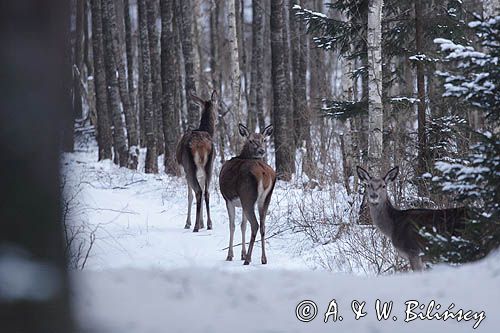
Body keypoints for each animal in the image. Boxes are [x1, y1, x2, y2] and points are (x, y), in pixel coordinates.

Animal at [176, 90, 217, 231]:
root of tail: (201, 146)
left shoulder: (184, 172)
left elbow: (189, 196)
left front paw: (188, 223)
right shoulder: (202, 174)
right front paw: (202, 222)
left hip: (189, 167)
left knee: (198, 192)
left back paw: (195, 226)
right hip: (209, 166)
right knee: (207, 192)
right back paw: (209, 224)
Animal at [219, 124, 276, 264]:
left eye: (264, 139)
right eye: (251, 141)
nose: (261, 150)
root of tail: (264, 173)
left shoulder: (228, 199)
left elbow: (232, 225)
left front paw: (231, 255)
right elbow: (243, 225)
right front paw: (242, 254)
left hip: (247, 196)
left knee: (255, 225)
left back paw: (248, 259)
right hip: (265, 199)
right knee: (262, 226)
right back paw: (263, 258)